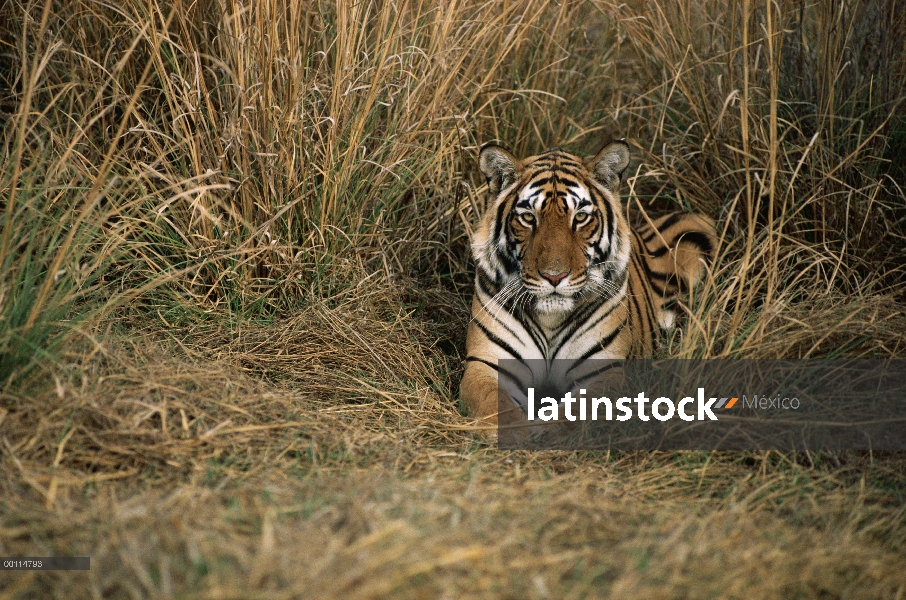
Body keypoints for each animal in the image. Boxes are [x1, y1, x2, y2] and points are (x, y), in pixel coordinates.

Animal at [462, 139, 716, 432]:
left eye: (581, 217)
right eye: (528, 218)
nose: (554, 276)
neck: (550, 319)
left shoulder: (603, 371)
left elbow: (573, 415)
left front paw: (545, 431)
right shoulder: (487, 364)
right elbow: (496, 406)